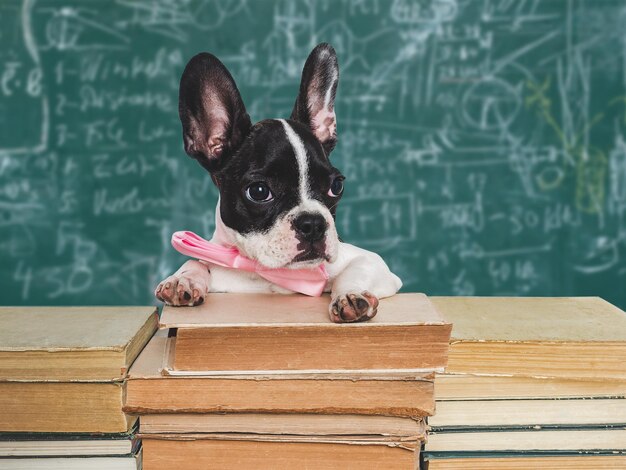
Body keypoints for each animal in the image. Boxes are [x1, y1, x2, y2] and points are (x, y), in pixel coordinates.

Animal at [155, 43, 400, 324]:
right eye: (259, 191)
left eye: (336, 186)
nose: (313, 223)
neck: (270, 276)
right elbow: (197, 262)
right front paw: (181, 280)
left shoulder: (374, 263)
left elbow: (355, 271)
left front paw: (351, 295)